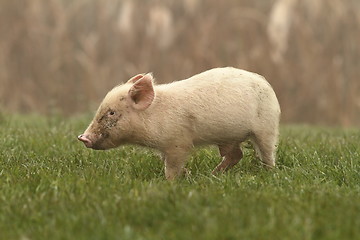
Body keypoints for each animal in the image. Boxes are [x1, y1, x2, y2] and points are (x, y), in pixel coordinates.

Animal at [78, 67, 282, 180]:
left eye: (112, 112)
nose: (82, 137)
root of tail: (266, 83)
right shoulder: (164, 147)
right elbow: (166, 162)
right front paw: (188, 175)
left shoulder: (178, 143)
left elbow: (172, 166)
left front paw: (170, 182)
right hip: (229, 137)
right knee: (236, 154)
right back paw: (212, 175)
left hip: (267, 127)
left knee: (267, 152)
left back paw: (268, 173)